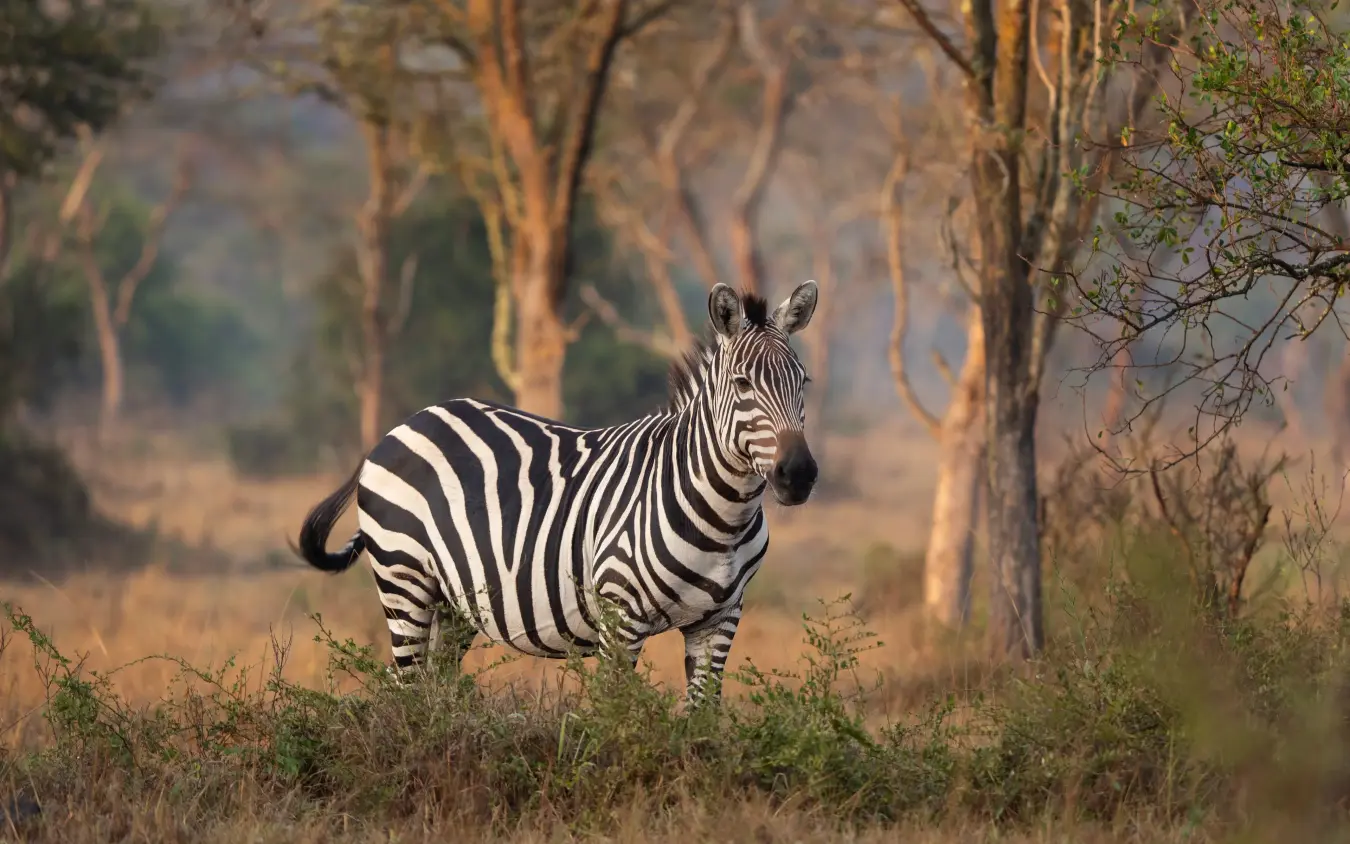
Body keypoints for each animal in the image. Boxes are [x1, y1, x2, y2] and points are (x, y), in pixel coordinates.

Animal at [293, 280, 820, 704]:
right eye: (743, 383)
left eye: (805, 381)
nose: (798, 474)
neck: (723, 518)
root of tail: (404, 425)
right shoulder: (620, 616)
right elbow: (615, 716)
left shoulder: (720, 620)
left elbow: (702, 716)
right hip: (404, 581)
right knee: (406, 686)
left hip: (452, 603)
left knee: (428, 687)